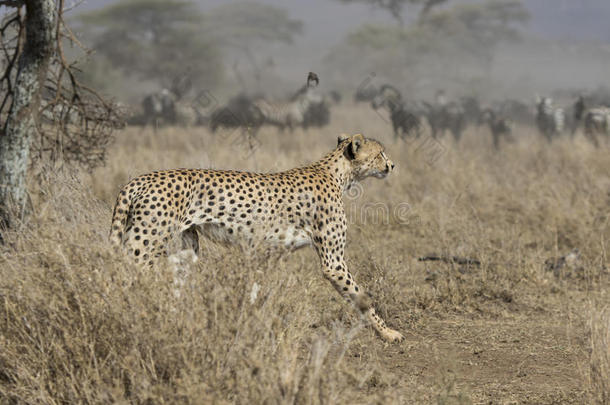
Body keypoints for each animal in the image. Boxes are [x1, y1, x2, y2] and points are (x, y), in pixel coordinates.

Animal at [109, 134, 404, 342]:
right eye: (380, 152)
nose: (391, 164)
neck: (336, 172)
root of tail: (139, 179)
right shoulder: (333, 262)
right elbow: (361, 296)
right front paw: (388, 333)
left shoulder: (265, 252)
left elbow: (256, 290)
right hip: (145, 244)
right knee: (120, 277)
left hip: (185, 247)